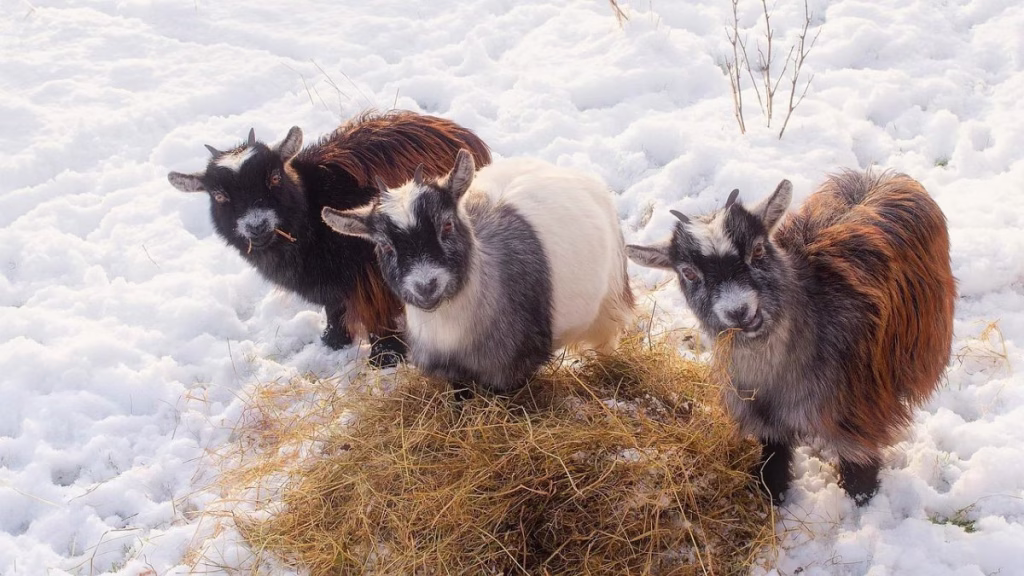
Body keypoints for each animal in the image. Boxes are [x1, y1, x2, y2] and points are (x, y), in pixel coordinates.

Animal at [167, 111, 491, 367]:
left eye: (274, 177)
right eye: (219, 195)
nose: (256, 226)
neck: (311, 214)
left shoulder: (370, 274)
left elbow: (378, 311)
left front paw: (385, 356)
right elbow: (334, 307)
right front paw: (334, 339)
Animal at [321, 149, 635, 393]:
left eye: (447, 225)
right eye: (385, 245)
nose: (426, 286)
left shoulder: (512, 369)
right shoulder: (451, 372)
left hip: (609, 303)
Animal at [626, 171, 955, 504]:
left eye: (758, 249)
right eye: (689, 272)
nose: (739, 311)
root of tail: (879, 176)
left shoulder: (857, 414)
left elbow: (860, 473)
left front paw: (863, 503)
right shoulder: (765, 420)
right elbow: (773, 461)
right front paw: (773, 496)